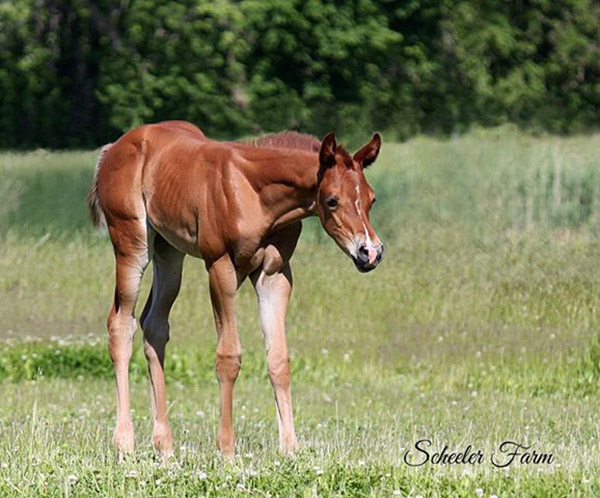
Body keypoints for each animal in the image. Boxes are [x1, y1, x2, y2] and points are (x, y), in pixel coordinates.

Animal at [90, 120, 384, 462]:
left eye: (371, 199)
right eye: (332, 200)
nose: (370, 252)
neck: (254, 193)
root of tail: (114, 148)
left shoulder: (275, 275)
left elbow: (278, 359)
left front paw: (290, 448)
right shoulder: (220, 267)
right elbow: (228, 356)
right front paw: (227, 450)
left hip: (169, 251)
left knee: (154, 326)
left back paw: (164, 445)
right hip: (131, 243)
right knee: (121, 325)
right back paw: (125, 442)